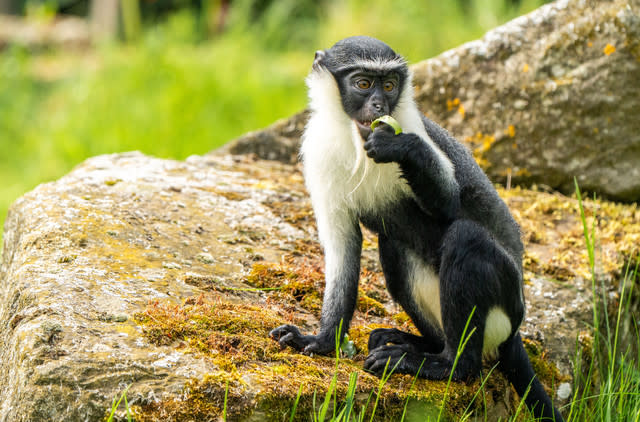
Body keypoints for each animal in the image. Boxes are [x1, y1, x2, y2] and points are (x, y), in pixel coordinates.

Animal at [270, 37, 564, 422]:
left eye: (389, 86)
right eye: (363, 83)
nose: (380, 105)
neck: (355, 141)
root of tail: (514, 331)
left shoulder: (411, 123)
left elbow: (449, 203)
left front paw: (401, 147)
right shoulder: (319, 153)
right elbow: (343, 245)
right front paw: (320, 342)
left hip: (504, 300)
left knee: (466, 238)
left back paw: (445, 365)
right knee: (393, 247)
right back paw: (417, 343)